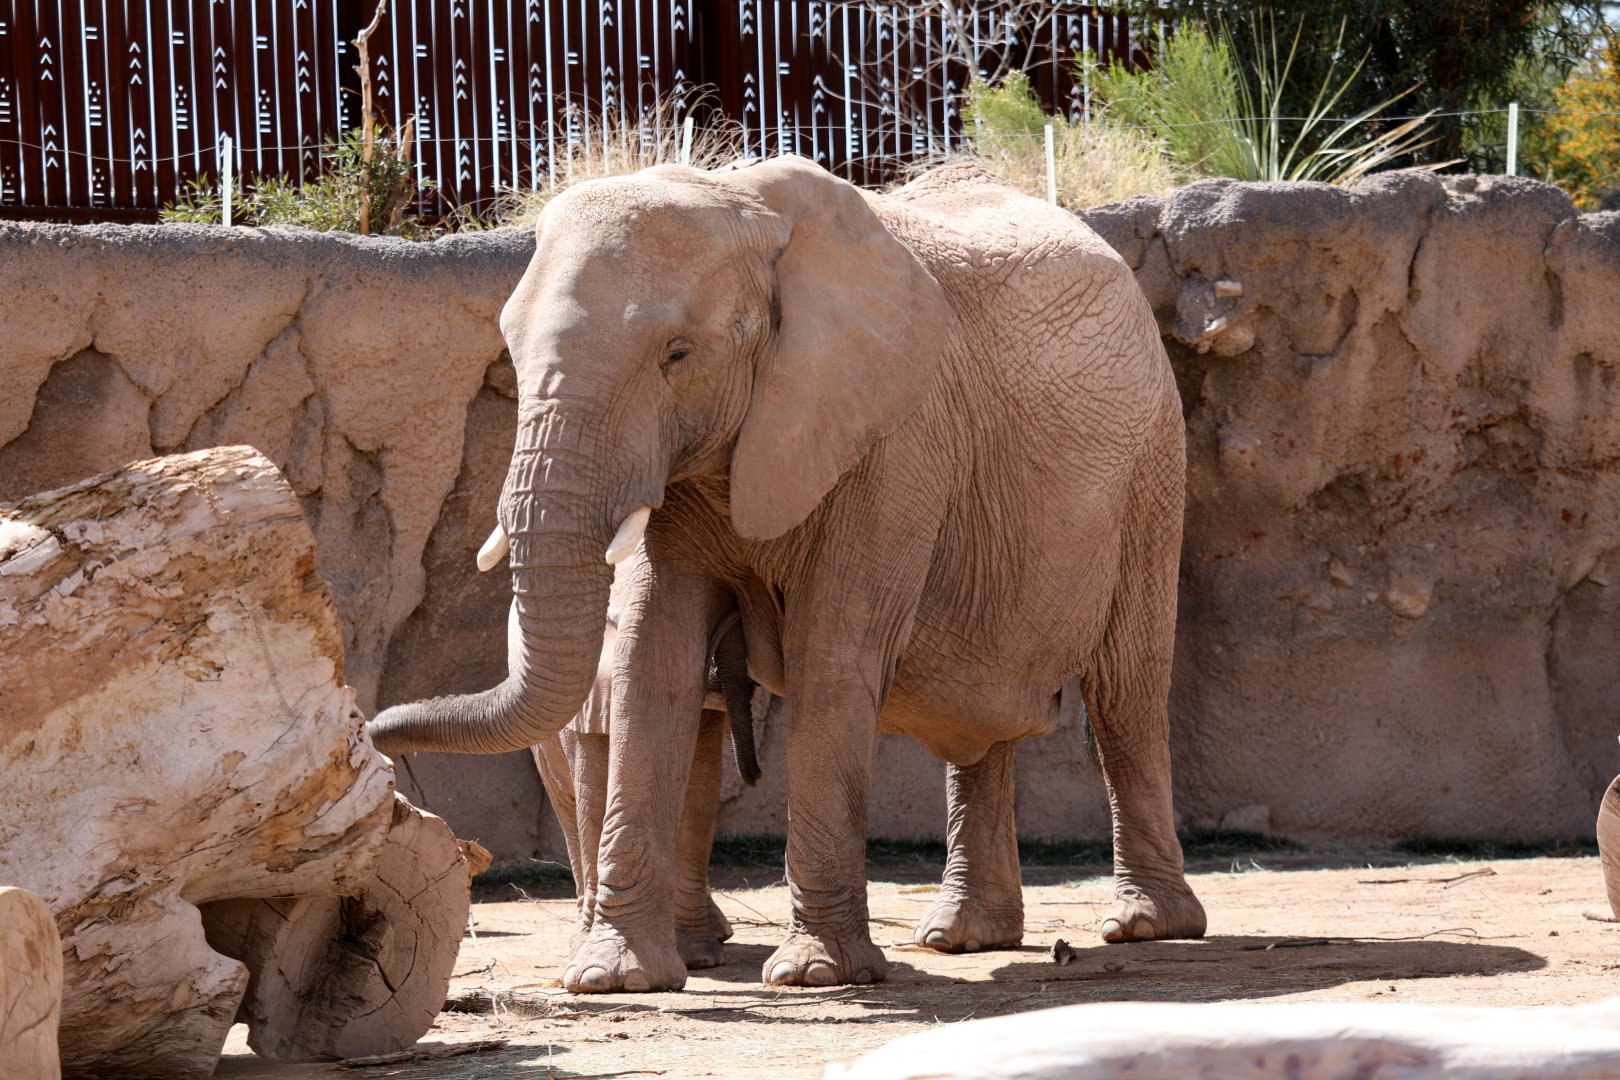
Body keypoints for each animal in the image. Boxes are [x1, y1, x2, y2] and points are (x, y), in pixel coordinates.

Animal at [369, 155, 1206, 992]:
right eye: (510, 350)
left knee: (1126, 691)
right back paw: (961, 937)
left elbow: (832, 654)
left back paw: (1146, 926)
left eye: (677, 353)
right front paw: (614, 977)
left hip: (1153, 463)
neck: (738, 204)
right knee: (982, 714)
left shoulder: (892, 438)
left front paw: (813, 974)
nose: (377, 739)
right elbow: (653, 658)